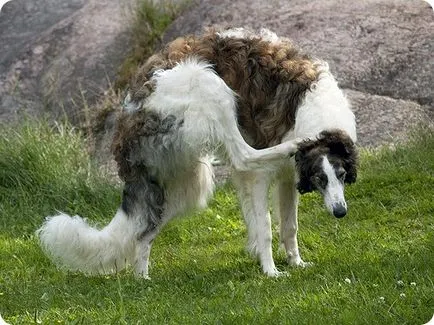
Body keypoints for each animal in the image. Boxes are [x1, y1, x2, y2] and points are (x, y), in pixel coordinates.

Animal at [36, 27, 356, 276]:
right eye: (321, 179)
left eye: (341, 175)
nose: (340, 212)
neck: (312, 109)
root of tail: (126, 119)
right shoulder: (260, 177)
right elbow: (265, 225)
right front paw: (270, 271)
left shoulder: (288, 179)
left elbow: (289, 227)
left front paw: (295, 263)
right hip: (207, 82)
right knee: (244, 154)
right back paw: (289, 145)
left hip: (185, 185)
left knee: (142, 234)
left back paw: (142, 279)